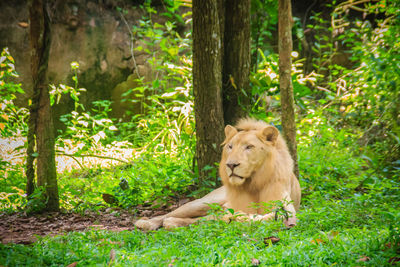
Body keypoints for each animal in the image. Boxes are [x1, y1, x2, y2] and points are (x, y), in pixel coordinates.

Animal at [134, 118, 300, 231]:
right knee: (168, 215)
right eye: (230, 146)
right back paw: (147, 223)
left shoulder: (288, 210)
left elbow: (271, 216)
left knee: (195, 219)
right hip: (202, 202)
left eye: (249, 147)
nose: (231, 165)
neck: (253, 182)